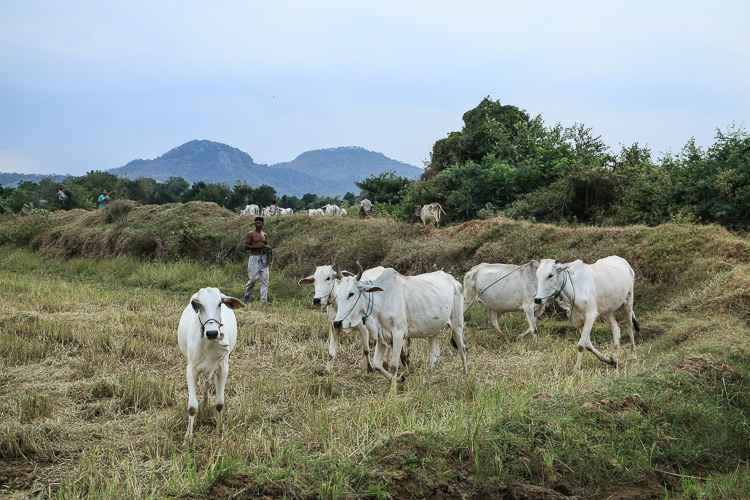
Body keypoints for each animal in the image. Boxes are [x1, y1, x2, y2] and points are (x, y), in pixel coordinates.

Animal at [178, 288, 245, 444]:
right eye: (199, 304)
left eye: (220, 303)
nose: (213, 332)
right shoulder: (191, 369)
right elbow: (192, 407)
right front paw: (188, 438)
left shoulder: (223, 368)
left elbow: (219, 403)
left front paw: (219, 430)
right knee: (206, 384)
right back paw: (205, 403)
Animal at [332, 268, 468, 384]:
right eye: (337, 294)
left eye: (351, 293)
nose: (337, 322)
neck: (381, 299)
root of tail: (453, 280)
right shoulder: (382, 336)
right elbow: (377, 365)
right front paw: (398, 379)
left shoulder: (398, 334)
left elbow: (393, 366)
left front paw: (393, 390)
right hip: (432, 329)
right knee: (435, 353)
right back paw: (426, 381)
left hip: (457, 324)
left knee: (462, 349)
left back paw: (465, 377)